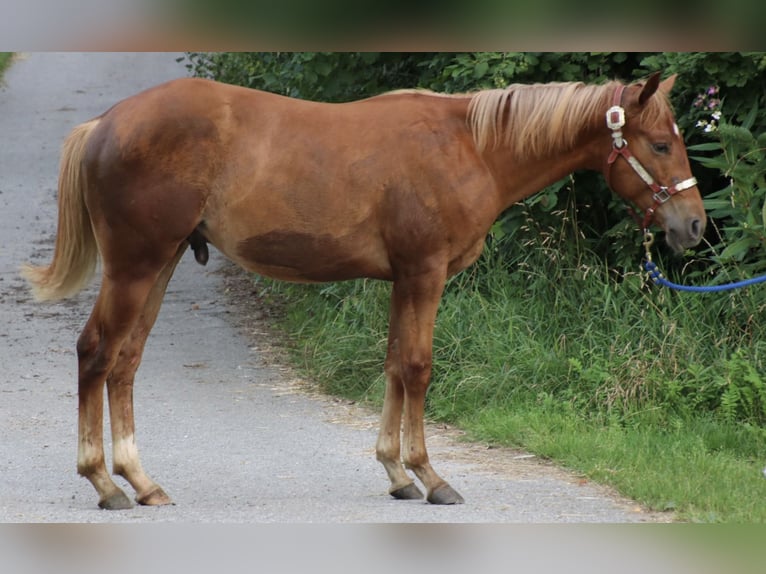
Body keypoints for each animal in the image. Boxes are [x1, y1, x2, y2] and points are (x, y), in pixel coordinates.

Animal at [22, 72, 708, 508]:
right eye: (660, 143)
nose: (695, 226)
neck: (470, 146)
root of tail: (105, 123)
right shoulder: (425, 274)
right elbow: (419, 367)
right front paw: (431, 477)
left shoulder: (404, 280)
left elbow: (394, 366)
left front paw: (397, 473)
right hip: (136, 267)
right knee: (96, 352)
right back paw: (104, 484)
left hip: (159, 267)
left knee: (125, 363)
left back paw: (142, 483)